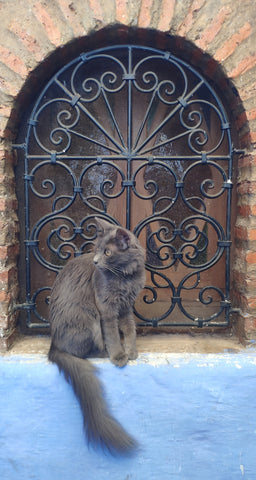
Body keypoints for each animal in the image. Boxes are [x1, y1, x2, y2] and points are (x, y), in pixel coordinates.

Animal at [47, 218, 145, 454]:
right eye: (96, 250)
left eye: (107, 252)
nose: (95, 261)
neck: (125, 277)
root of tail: (53, 346)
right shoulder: (106, 309)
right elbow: (112, 335)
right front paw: (119, 356)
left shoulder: (126, 307)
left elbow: (130, 330)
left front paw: (132, 351)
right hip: (89, 316)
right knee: (84, 353)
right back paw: (104, 353)